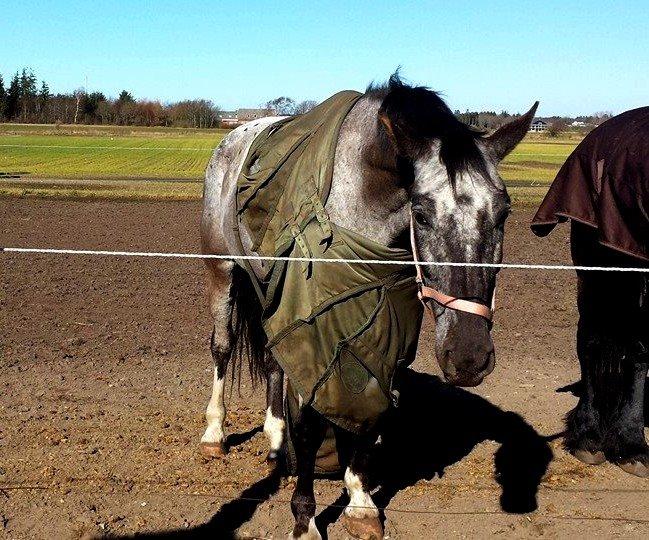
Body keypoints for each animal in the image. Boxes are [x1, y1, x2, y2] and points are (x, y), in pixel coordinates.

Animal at [200, 77, 536, 540]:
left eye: (503, 214)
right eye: (421, 214)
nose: (469, 356)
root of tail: (234, 136)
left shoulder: (385, 326)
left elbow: (372, 408)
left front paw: (359, 502)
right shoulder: (315, 327)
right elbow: (310, 425)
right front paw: (305, 519)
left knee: (272, 357)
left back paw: (275, 437)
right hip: (222, 270)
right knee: (223, 346)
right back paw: (214, 432)